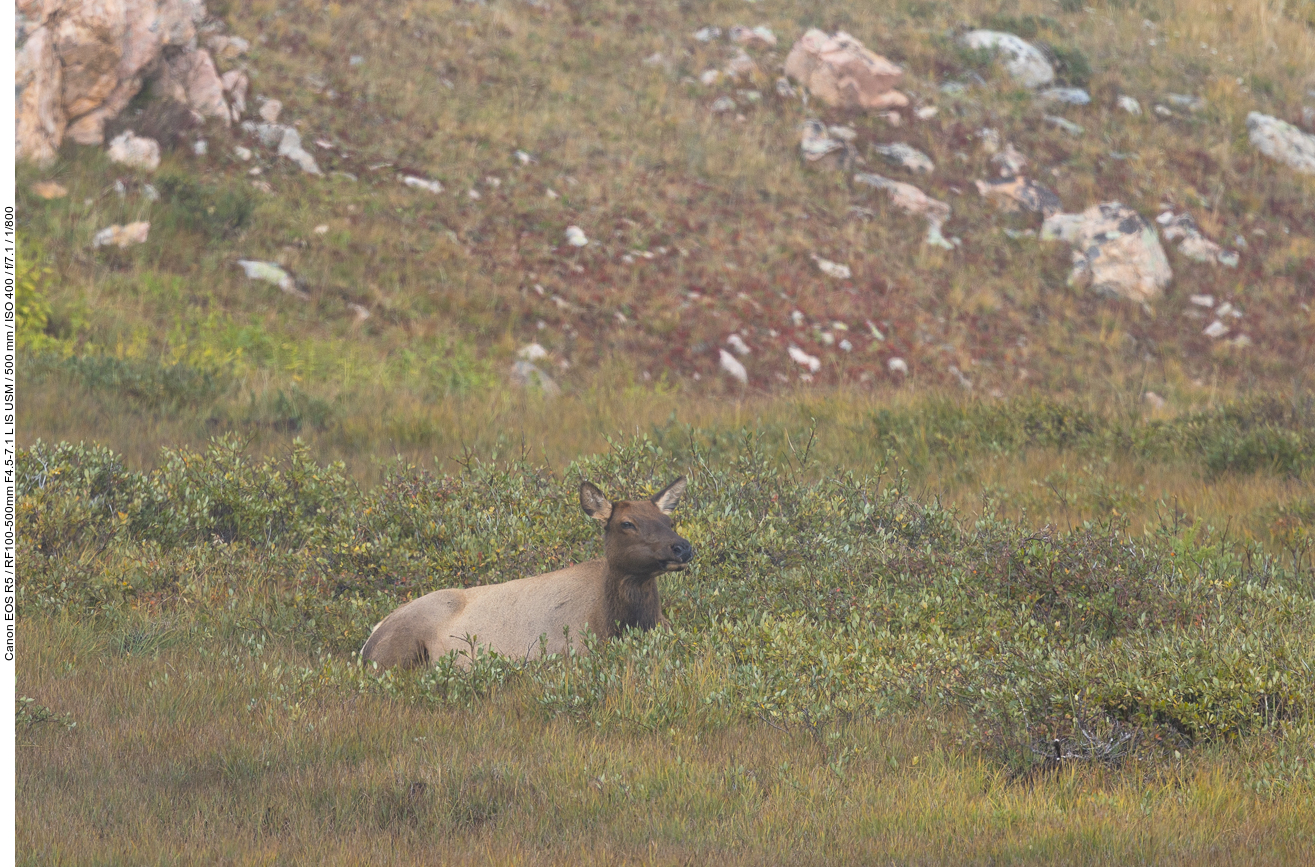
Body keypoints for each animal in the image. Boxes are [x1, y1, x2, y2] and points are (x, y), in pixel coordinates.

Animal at [355, 473, 694, 670]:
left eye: (668, 520)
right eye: (627, 523)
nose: (682, 547)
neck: (618, 622)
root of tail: (370, 637)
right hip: (399, 650)